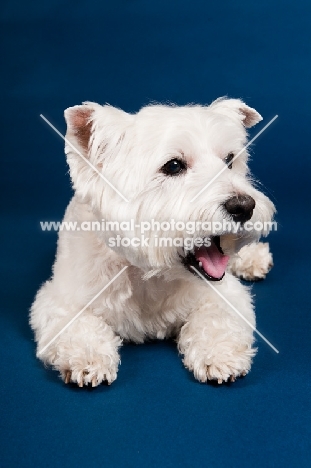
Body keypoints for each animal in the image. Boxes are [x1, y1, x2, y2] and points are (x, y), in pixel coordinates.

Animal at [30, 97, 276, 386]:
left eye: (229, 160)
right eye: (173, 166)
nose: (244, 206)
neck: (151, 275)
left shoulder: (224, 293)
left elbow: (217, 319)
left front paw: (219, 354)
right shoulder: (60, 300)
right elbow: (79, 327)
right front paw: (89, 358)